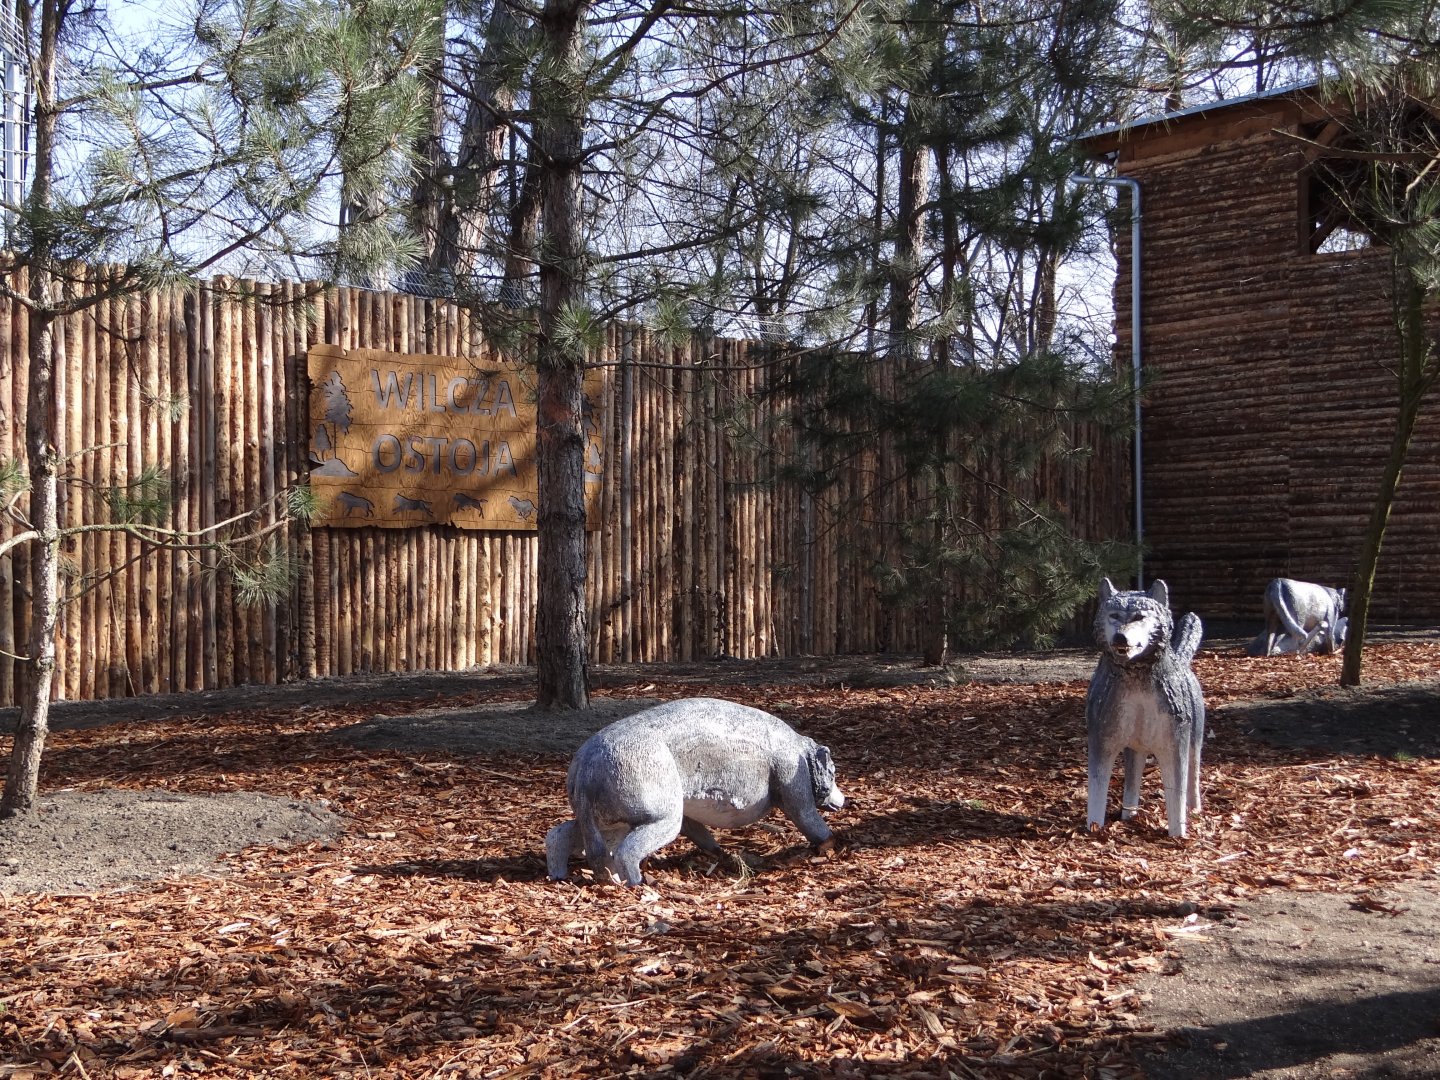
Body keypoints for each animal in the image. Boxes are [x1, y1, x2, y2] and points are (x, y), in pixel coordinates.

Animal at [545, 697, 845, 886]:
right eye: (832, 772)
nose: (844, 800)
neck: (800, 752)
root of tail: (585, 764)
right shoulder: (792, 778)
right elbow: (808, 819)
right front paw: (831, 843)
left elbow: (700, 833)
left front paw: (719, 852)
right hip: (661, 816)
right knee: (626, 851)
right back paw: (639, 884)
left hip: (606, 821)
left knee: (560, 834)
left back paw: (563, 876)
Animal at [1086, 578, 1205, 839]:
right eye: (1114, 615)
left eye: (1139, 617)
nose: (1120, 637)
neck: (1136, 678)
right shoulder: (1101, 741)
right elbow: (1097, 790)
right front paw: (1094, 828)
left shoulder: (1175, 745)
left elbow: (1177, 791)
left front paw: (1178, 833)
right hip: (1135, 748)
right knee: (1132, 780)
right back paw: (1128, 814)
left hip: (1195, 739)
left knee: (1193, 774)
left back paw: (1195, 808)